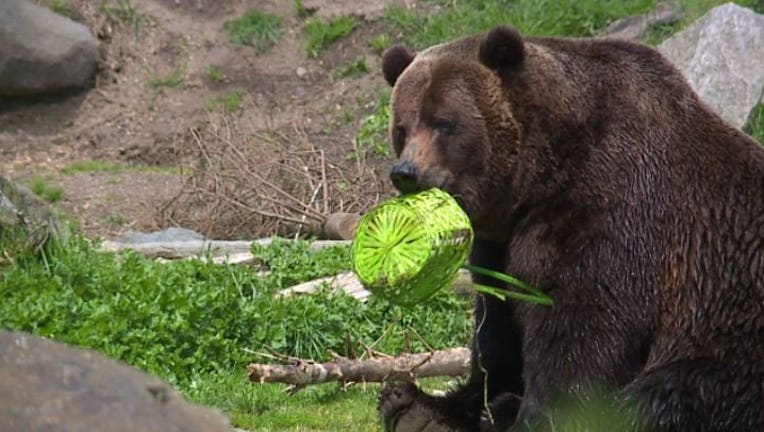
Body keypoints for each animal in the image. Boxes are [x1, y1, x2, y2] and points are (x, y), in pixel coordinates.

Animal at [377, 25, 764, 432]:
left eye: (444, 123)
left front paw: (533, 414)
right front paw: (421, 406)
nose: (406, 173)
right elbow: (497, 330)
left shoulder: (612, 205)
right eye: (402, 128)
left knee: (676, 389)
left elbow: (583, 328)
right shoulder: (498, 244)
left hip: (731, 329)